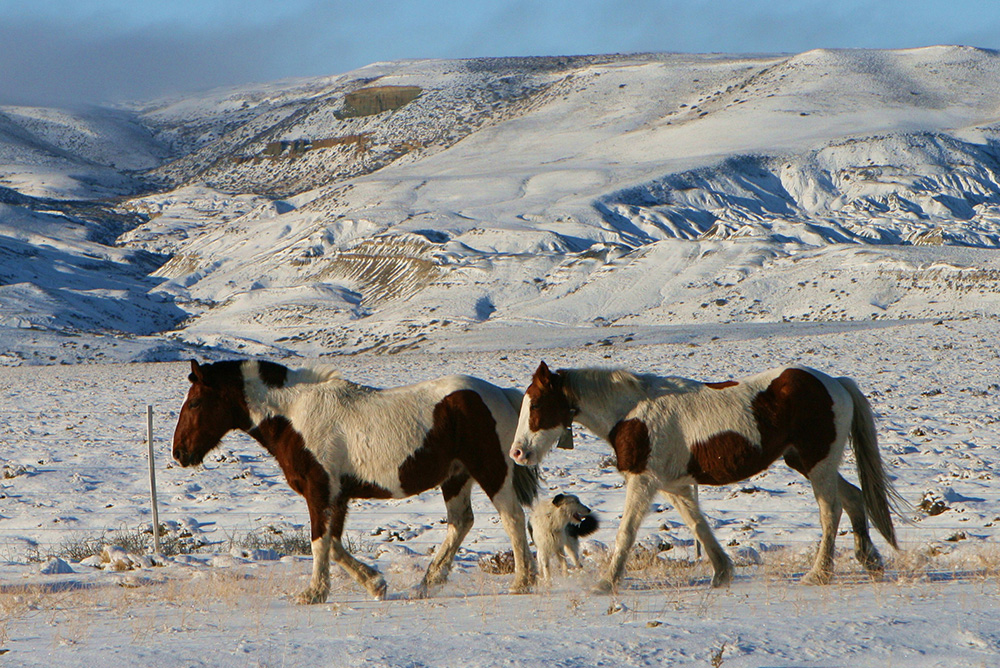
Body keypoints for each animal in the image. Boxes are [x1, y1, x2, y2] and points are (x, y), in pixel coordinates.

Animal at [172, 359, 539, 602]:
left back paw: (522, 581)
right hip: (456, 477)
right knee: (460, 523)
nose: (179, 453)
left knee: (512, 518)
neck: (297, 417)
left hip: (491, 471)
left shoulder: (320, 492)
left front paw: (314, 593)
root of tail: (500, 394)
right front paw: (375, 584)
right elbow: (333, 545)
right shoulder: (337, 496)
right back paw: (425, 585)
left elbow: (320, 543)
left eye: (196, 401)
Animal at [509, 361, 902, 592]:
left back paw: (819, 573)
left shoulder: (644, 481)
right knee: (853, 498)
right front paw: (722, 572)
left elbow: (626, 532)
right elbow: (698, 525)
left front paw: (606, 583)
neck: (632, 413)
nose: (517, 453)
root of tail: (834, 383)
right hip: (808, 462)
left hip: (817, 464)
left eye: (537, 405)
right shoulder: (676, 485)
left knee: (830, 512)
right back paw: (869, 561)